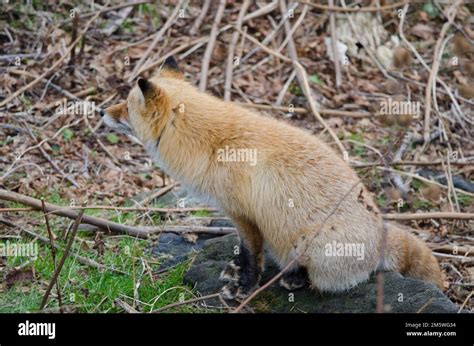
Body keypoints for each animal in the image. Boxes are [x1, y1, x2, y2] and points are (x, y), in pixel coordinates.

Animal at [102, 57, 442, 300]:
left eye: (127, 106)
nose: (102, 110)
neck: (212, 143)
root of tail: (379, 232)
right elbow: (244, 253)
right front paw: (236, 272)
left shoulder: (244, 214)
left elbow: (252, 255)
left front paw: (243, 288)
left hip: (309, 244)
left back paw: (293, 279)